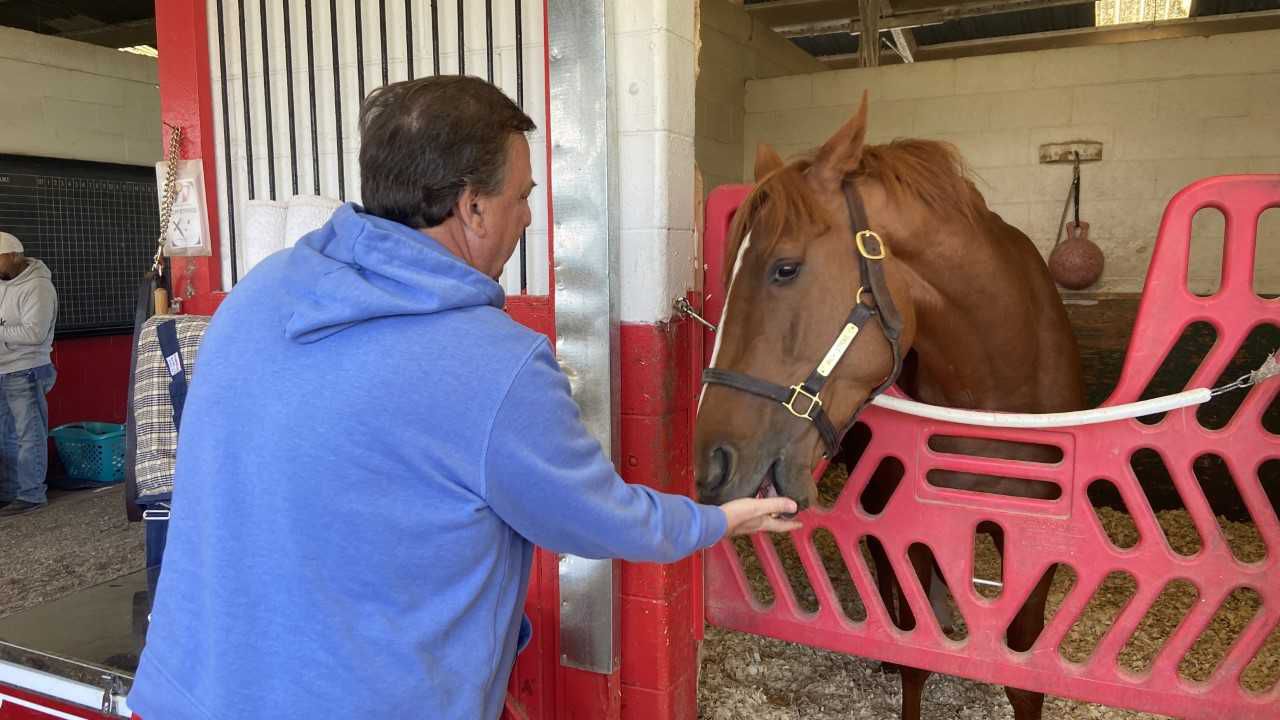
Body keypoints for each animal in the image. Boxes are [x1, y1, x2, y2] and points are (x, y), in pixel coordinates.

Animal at [696, 95, 1085, 717]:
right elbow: (914, 658)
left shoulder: (1035, 540)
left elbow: (1024, 673)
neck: (1000, 380)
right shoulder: (914, 527)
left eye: (785, 267)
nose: (712, 462)